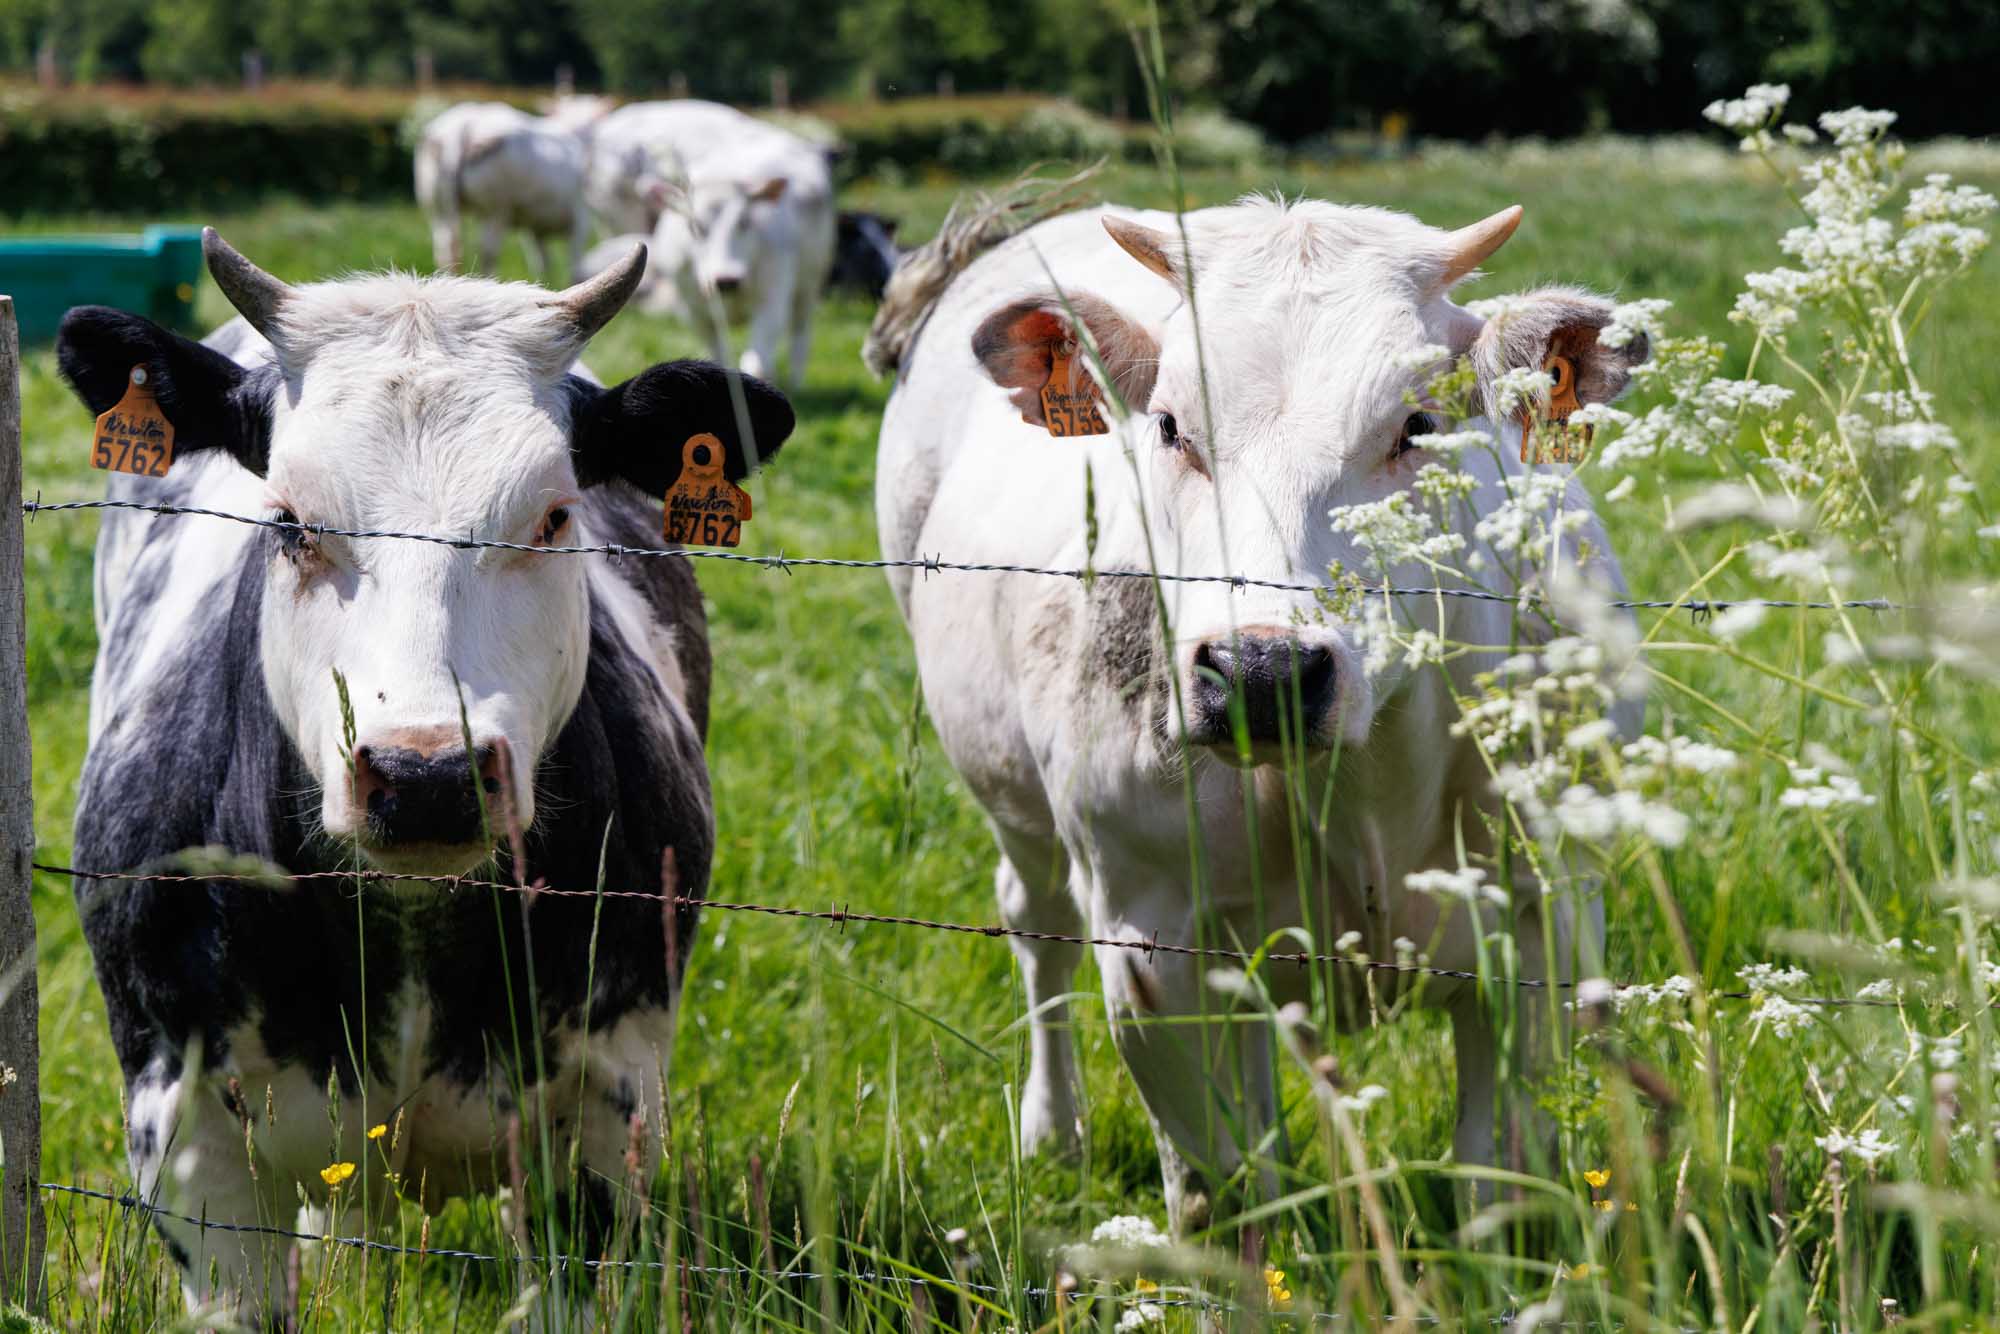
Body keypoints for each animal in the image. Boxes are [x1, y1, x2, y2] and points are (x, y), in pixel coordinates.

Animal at [414, 97, 611, 282]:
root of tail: (462, 125)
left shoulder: (535, 230)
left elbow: (542, 264)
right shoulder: (579, 221)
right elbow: (574, 267)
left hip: (437, 205)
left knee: (445, 249)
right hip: (496, 207)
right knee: (488, 251)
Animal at [584, 100, 835, 386]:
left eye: (745, 221)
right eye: (694, 227)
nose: (726, 280)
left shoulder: (772, 301)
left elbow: (758, 363)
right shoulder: (696, 312)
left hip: (809, 284)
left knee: (799, 336)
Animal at [868, 197, 1647, 1231]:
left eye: (1419, 422)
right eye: (1167, 425)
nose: (1261, 671)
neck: (1361, 795)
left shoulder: (1544, 916)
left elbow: (1499, 1174)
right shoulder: (1150, 943)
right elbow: (1219, 1194)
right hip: (1017, 811)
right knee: (1035, 931)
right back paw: (1052, 1131)